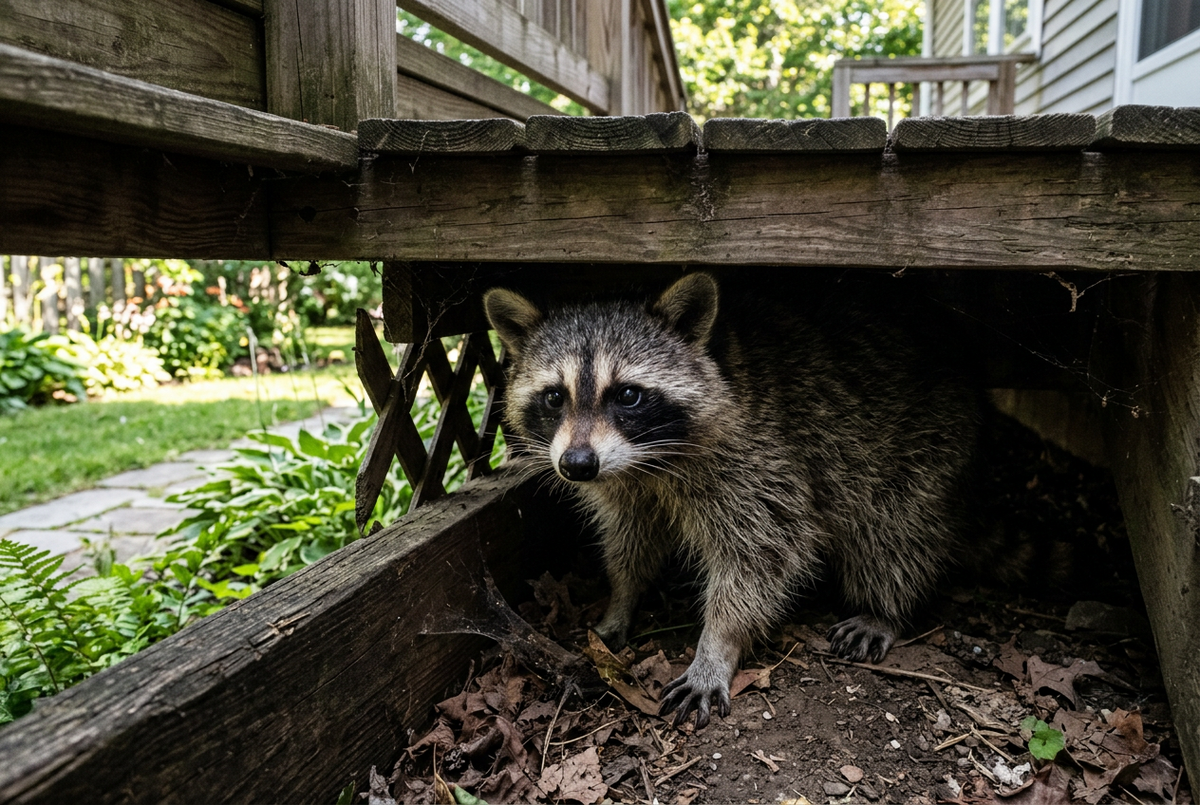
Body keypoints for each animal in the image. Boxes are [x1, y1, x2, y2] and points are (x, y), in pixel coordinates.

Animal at [484, 272, 979, 728]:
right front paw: (622, 597)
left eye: (627, 395)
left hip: (919, 446)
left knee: (893, 530)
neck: (647, 464)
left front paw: (717, 646)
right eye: (554, 396)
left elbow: (759, 558)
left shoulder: (760, 462)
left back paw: (884, 607)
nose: (578, 464)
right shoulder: (628, 488)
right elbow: (630, 539)